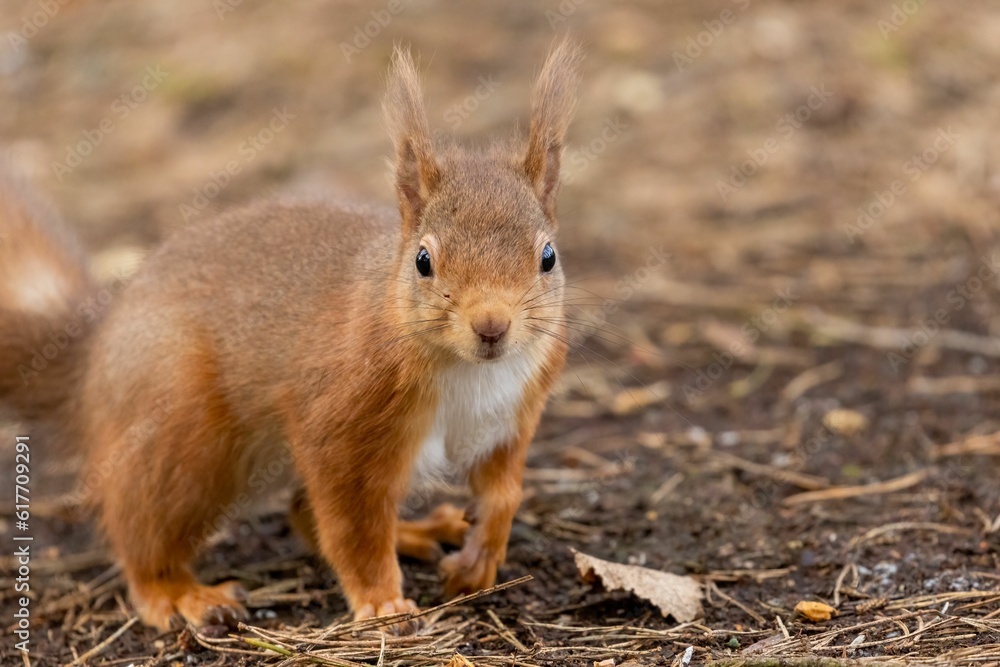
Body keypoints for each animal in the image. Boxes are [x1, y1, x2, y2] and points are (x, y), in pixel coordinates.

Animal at [0, 43, 584, 632]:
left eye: (548, 256)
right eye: (423, 261)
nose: (492, 326)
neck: (471, 371)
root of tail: (93, 359)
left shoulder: (514, 416)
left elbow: (505, 493)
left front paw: (480, 558)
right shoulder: (339, 424)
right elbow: (352, 525)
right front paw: (382, 604)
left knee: (301, 512)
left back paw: (415, 531)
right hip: (179, 429)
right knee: (143, 529)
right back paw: (178, 593)